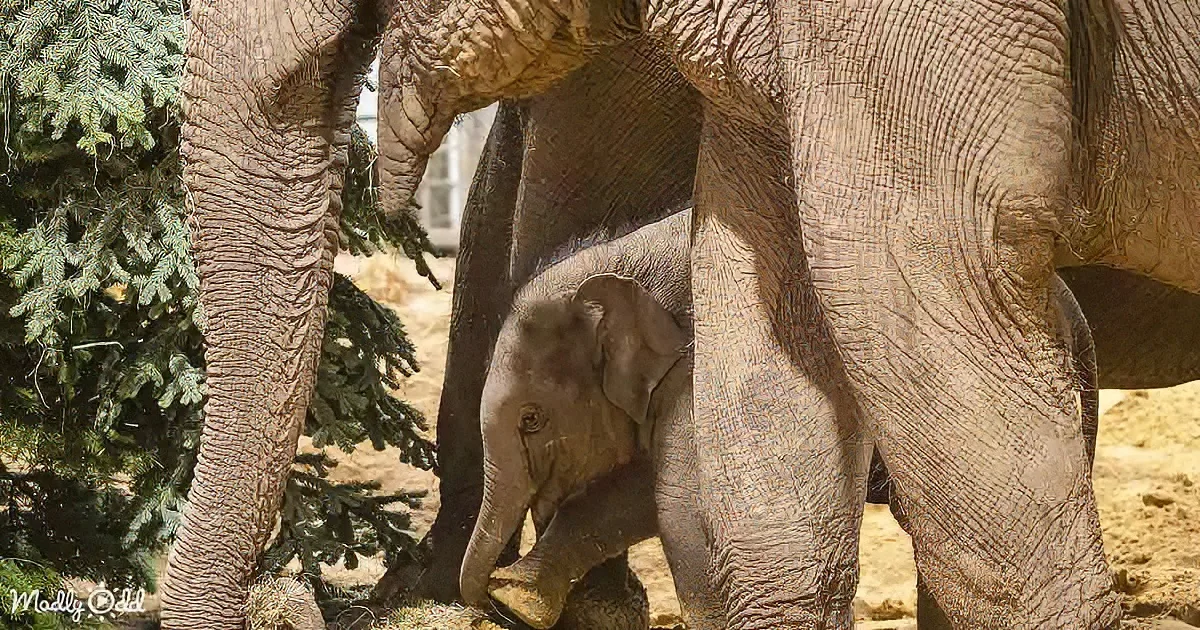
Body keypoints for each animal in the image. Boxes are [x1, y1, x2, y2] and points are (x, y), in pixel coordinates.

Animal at [461, 206, 1102, 630]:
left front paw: (516, 598)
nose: (485, 599)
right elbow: (644, 491)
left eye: (532, 419)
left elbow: (675, 501)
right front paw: (522, 598)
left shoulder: (701, 366)